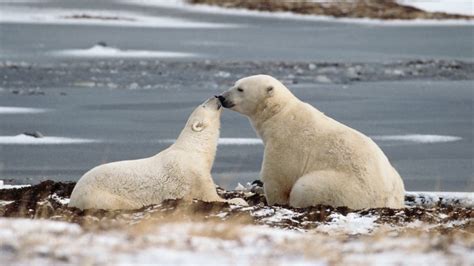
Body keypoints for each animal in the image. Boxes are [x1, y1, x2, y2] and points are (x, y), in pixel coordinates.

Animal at [69, 97, 244, 210]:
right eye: (203, 105)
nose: (217, 96)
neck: (194, 148)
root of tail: (73, 197)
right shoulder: (194, 173)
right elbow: (210, 196)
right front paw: (239, 200)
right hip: (100, 196)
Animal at [218, 74, 408, 209]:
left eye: (240, 89)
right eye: (235, 84)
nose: (221, 97)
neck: (279, 114)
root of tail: (387, 200)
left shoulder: (285, 143)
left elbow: (277, 177)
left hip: (345, 188)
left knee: (305, 186)